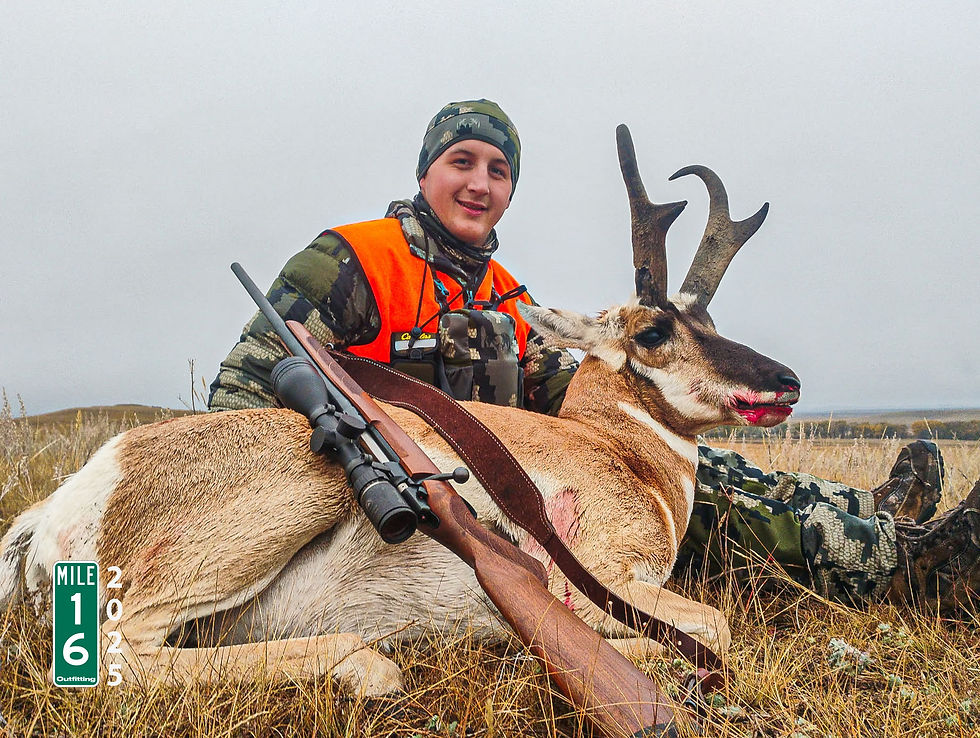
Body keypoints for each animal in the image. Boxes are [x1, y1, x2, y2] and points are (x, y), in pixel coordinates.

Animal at [0, 126, 800, 695]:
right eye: (655, 331)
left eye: (711, 320)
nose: (786, 381)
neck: (615, 446)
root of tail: (73, 496)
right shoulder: (603, 577)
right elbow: (717, 627)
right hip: (298, 496)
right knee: (119, 659)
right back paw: (379, 664)